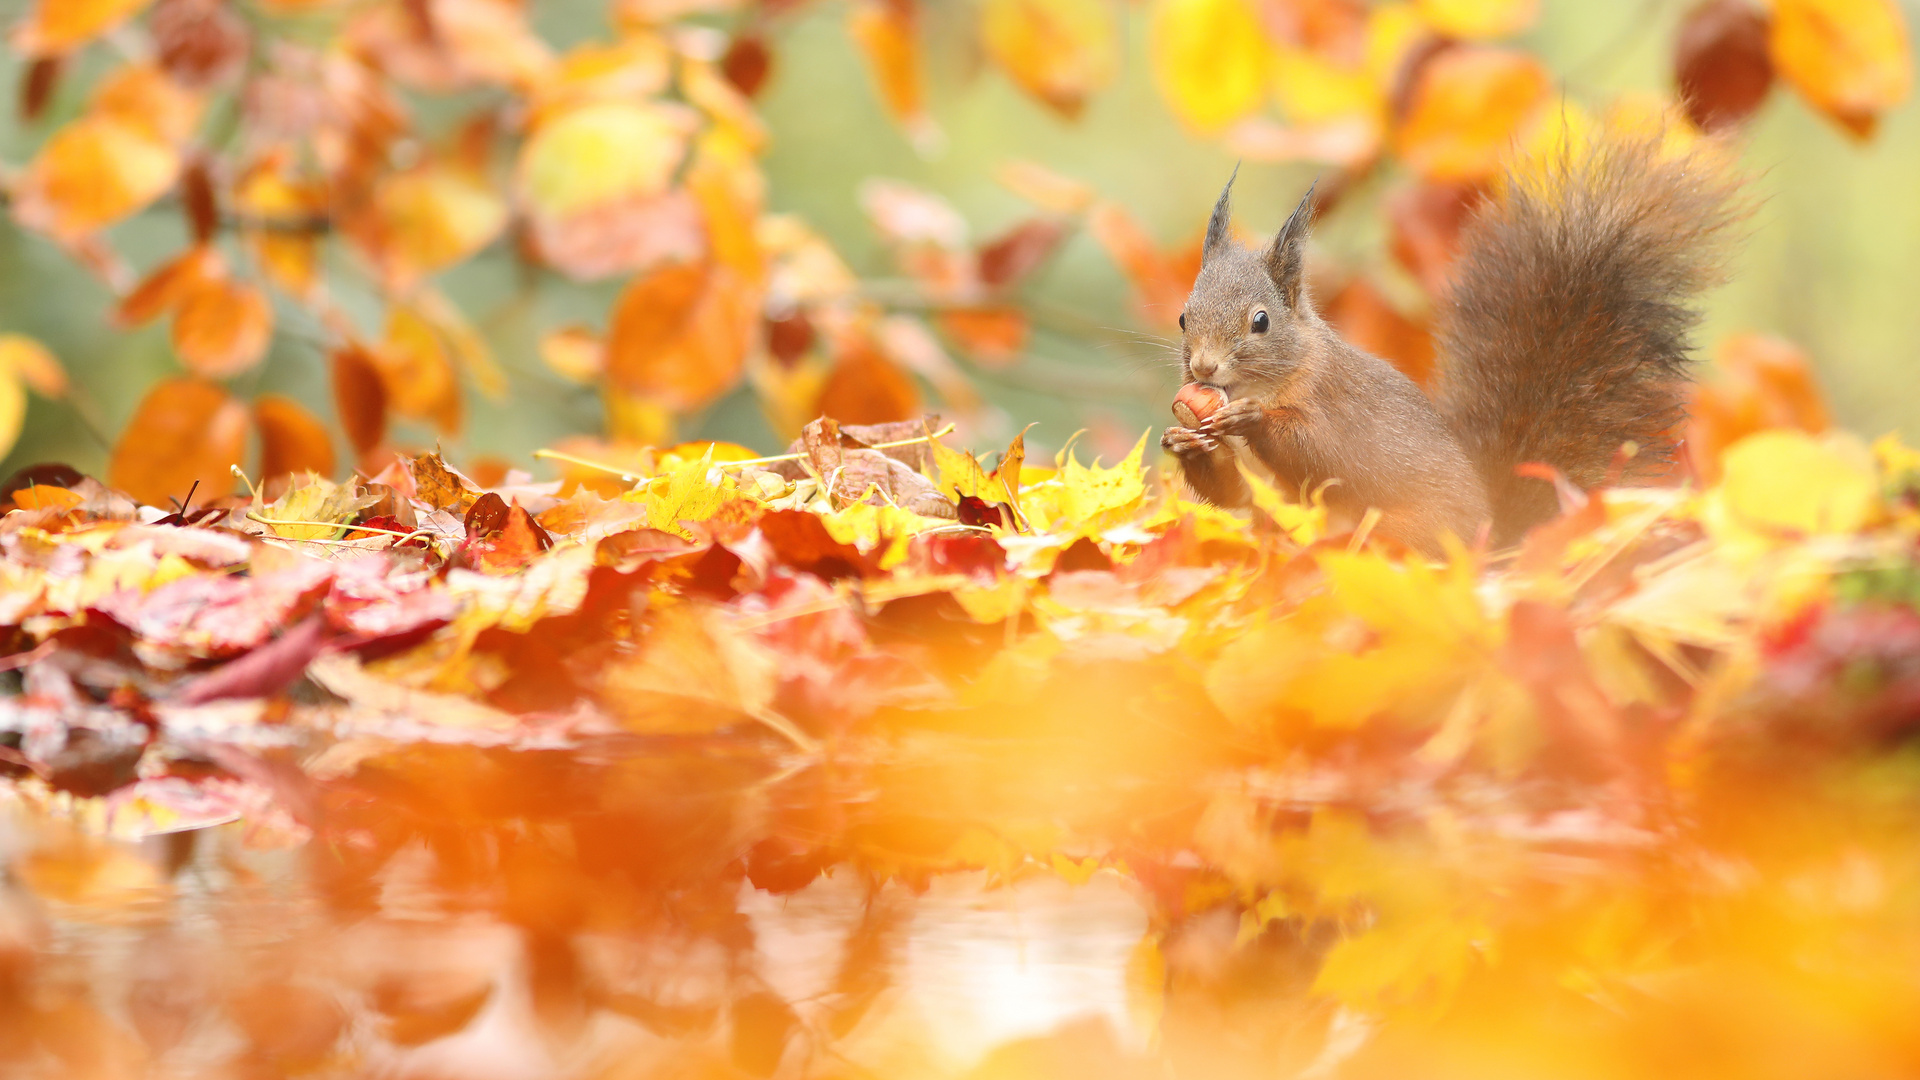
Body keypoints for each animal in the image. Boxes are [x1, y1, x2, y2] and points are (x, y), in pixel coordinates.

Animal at [1159, 135, 1751, 549]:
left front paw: (1254, 421)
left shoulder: (1343, 411)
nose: (1204, 369)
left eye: (1260, 322)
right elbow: (1234, 497)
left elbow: (1326, 454)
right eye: (1184, 317)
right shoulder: (1251, 491)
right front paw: (1183, 443)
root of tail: (1493, 537)